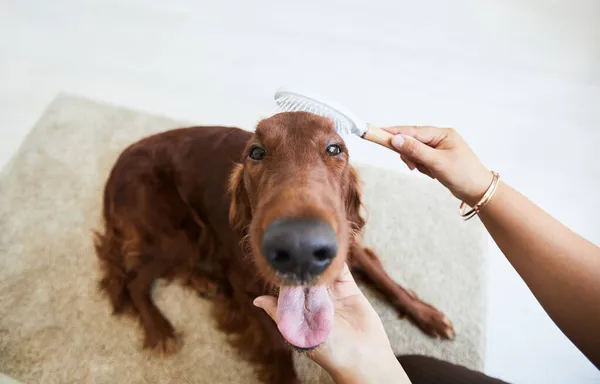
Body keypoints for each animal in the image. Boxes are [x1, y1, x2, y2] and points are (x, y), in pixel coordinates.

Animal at [94, 111, 452, 380]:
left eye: (334, 149)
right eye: (256, 152)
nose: (301, 250)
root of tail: (115, 170)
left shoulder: (349, 241)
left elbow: (386, 280)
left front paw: (428, 315)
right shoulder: (244, 283)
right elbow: (277, 344)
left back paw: (203, 281)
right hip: (175, 232)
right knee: (134, 280)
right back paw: (161, 330)